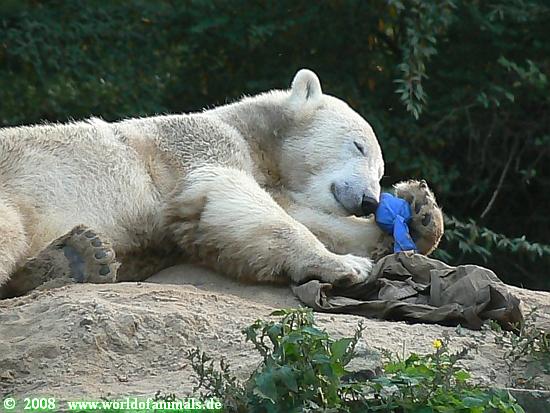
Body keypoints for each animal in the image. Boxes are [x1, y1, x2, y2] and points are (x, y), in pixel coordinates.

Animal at [0, 69, 442, 298]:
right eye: (357, 145)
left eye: (382, 172)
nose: (369, 200)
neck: (253, 136)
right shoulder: (202, 145)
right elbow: (227, 194)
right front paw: (345, 265)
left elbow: (303, 215)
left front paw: (420, 215)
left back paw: (80, 257)